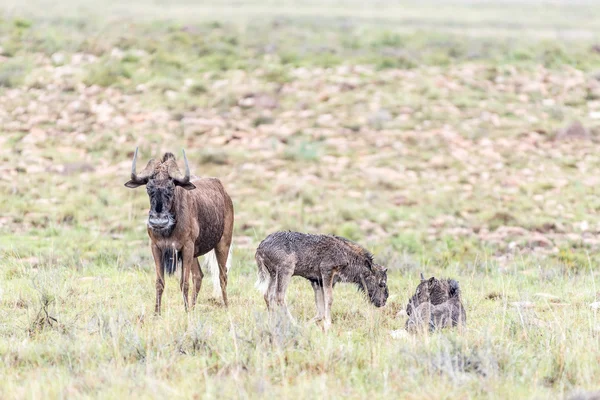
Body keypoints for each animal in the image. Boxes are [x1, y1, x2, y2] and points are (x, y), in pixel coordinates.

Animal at [123, 148, 233, 314]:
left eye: (171, 187)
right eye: (148, 187)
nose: (158, 221)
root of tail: (225, 193)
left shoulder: (186, 247)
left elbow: (184, 283)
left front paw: (186, 312)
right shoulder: (157, 248)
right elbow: (159, 282)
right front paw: (157, 313)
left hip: (222, 244)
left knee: (222, 275)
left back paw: (226, 307)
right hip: (195, 253)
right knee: (199, 276)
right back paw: (193, 308)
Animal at [254, 231, 390, 328]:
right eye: (382, 284)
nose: (383, 301)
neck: (348, 258)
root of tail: (259, 250)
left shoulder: (317, 281)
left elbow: (320, 310)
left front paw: (310, 324)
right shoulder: (327, 271)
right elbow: (329, 300)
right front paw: (328, 324)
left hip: (273, 274)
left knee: (268, 295)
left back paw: (272, 321)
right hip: (286, 270)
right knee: (279, 296)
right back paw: (293, 323)